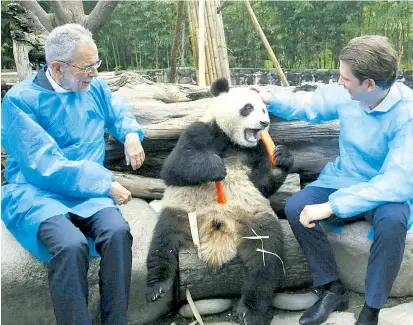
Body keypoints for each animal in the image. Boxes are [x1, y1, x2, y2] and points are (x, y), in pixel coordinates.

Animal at [146, 78, 292, 324]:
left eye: (264, 110)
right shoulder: (201, 131)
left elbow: (261, 184)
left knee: (266, 255)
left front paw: (282, 158)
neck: (234, 143)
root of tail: (218, 227)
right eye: (248, 107)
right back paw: (158, 285)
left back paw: (251, 310)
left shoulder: (258, 151)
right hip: (183, 212)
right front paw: (215, 168)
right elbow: (173, 166)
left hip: (253, 217)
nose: (264, 123)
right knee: (163, 240)